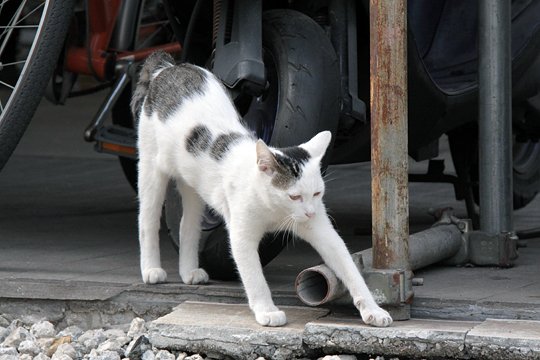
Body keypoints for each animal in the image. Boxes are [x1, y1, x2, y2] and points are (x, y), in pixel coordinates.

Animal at [131, 50, 392, 330]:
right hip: (151, 167)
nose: (310, 213)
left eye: (317, 194)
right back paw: (151, 270)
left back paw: (189, 271)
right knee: (147, 220)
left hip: (193, 185)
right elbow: (255, 278)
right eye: (294, 196)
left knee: (187, 224)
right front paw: (267, 311)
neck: (274, 209)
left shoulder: (324, 232)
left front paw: (373, 310)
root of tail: (169, 67)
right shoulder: (241, 236)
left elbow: (349, 269)